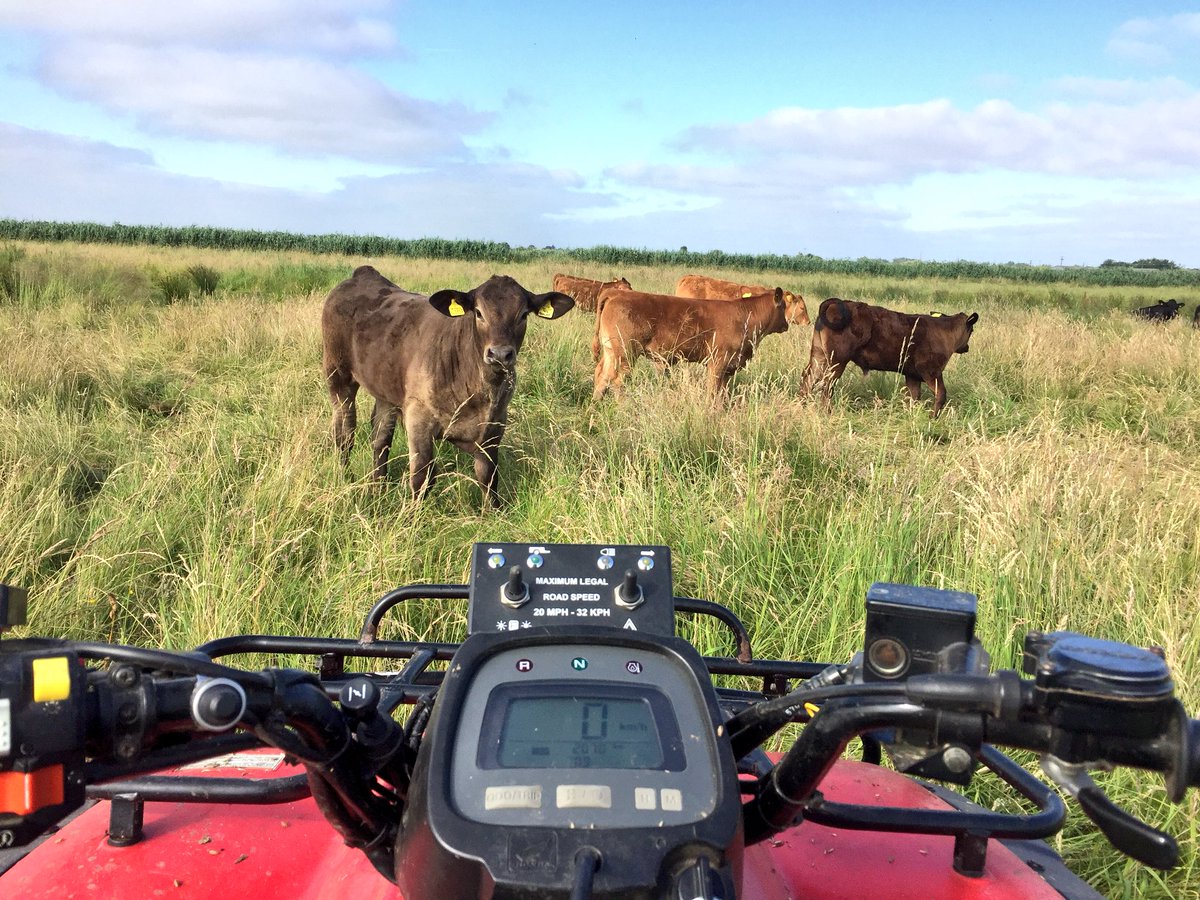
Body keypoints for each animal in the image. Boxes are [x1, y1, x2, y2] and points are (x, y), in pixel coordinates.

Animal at [321, 265, 574, 507]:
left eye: (523, 315)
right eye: (479, 313)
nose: (500, 354)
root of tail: (363, 273)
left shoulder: (495, 426)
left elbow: (488, 476)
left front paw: (494, 512)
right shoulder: (418, 419)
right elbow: (422, 478)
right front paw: (412, 517)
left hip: (385, 391)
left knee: (380, 437)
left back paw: (378, 486)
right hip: (338, 376)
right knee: (344, 433)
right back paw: (347, 479)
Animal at [592, 287, 789, 402]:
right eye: (783, 307)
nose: (786, 325)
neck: (745, 316)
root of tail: (616, 293)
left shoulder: (728, 367)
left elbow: (722, 392)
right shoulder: (718, 362)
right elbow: (713, 391)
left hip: (611, 352)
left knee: (602, 376)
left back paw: (595, 404)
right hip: (626, 353)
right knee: (617, 381)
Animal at [801, 298, 978, 418]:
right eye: (972, 330)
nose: (967, 347)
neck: (944, 330)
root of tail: (838, 303)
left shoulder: (912, 375)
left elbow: (913, 397)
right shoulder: (931, 371)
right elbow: (941, 394)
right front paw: (933, 418)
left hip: (819, 356)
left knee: (808, 379)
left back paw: (801, 404)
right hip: (837, 361)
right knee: (827, 386)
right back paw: (826, 412)